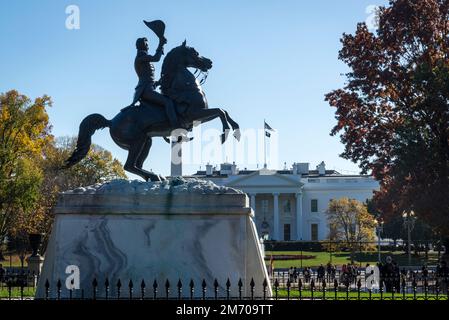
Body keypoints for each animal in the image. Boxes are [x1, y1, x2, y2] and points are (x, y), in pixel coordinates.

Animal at [65, 42, 240, 182]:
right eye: (195, 53)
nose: (209, 62)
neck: (185, 88)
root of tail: (110, 121)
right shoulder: (195, 115)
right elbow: (220, 111)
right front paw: (224, 134)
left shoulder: (199, 116)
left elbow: (224, 110)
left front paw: (236, 130)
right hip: (137, 140)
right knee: (129, 165)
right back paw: (155, 176)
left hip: (146, 141)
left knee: (136, 164)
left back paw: (155, 176)